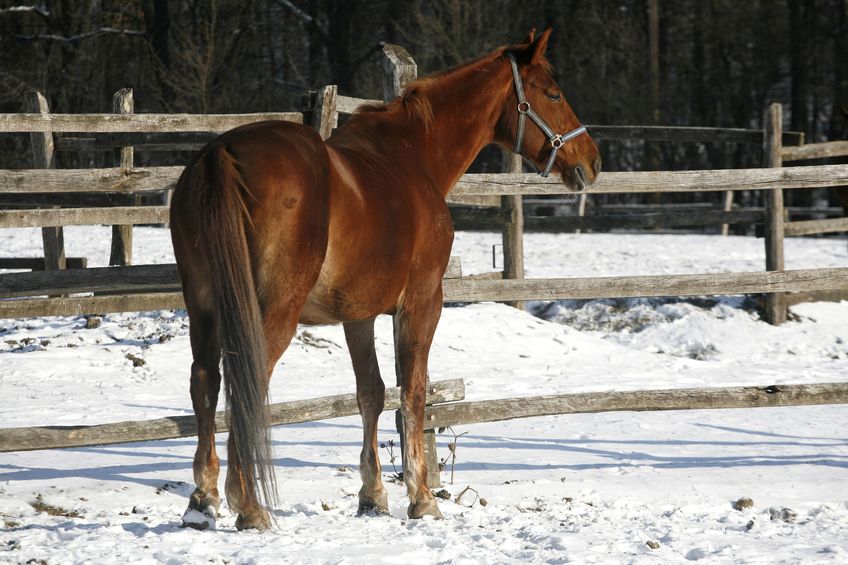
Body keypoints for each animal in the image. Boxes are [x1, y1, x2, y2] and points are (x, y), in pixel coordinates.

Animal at [169, 29, 600, 528]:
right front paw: (422, 497)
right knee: (249, 381)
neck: (411, 157)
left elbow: (370, 393)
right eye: (553, 93)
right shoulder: (422, 302)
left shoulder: (357, 314)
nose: (592, 161)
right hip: (272, 310)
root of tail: (222, 153)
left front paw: (372, 495)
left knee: (205, 380)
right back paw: (249, 505)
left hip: (203, 305)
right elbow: (412, 393)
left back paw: (202, 500)